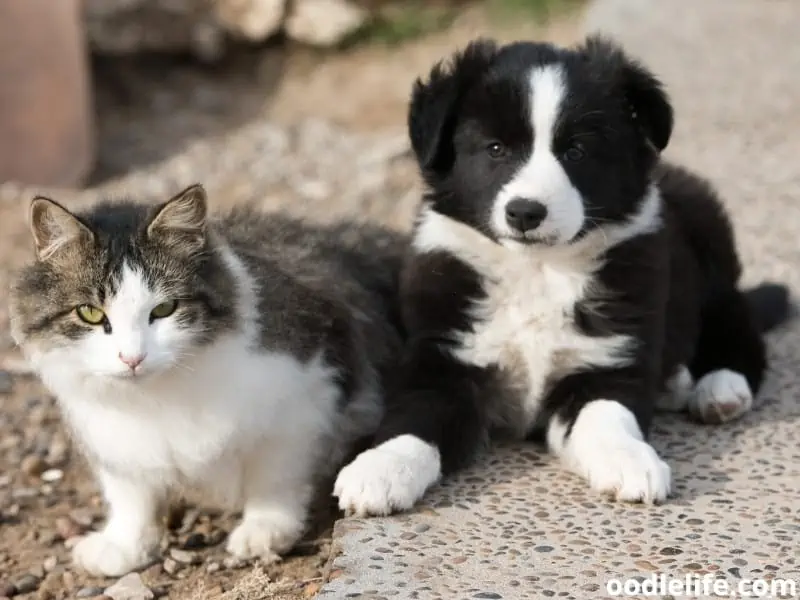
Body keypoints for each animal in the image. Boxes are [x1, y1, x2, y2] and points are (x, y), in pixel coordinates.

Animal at [8, 184, 404, 576]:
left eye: (164, 309)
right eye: (90, 313)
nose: (132, 359)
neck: (158, 396)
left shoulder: (306, 396)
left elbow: (275, 475)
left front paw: (265, 528)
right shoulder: (110, 433)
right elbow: (130, 494)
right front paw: (125, 545)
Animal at [332, 35, 792, 516]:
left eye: (576, 151)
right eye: (495, 149)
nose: (525, 212)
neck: (537, 270)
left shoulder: (607, 361)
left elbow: (608, 415)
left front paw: (631, 461)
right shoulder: (444, 356)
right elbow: (412, 420)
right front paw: (379, 468)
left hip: (712, 256)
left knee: (736, 326)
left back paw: (720, 388)